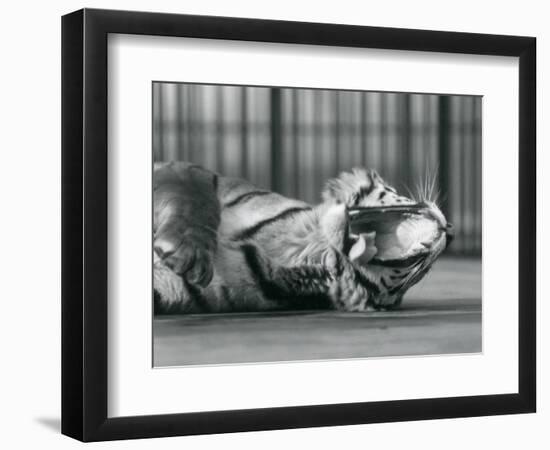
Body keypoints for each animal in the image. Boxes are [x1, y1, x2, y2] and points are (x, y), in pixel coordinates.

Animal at [153, 161, 454, 312]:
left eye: (423, 273)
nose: (451, 231)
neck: (305, 244)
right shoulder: (185, 171)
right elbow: (198, 200)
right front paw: (187, 251)